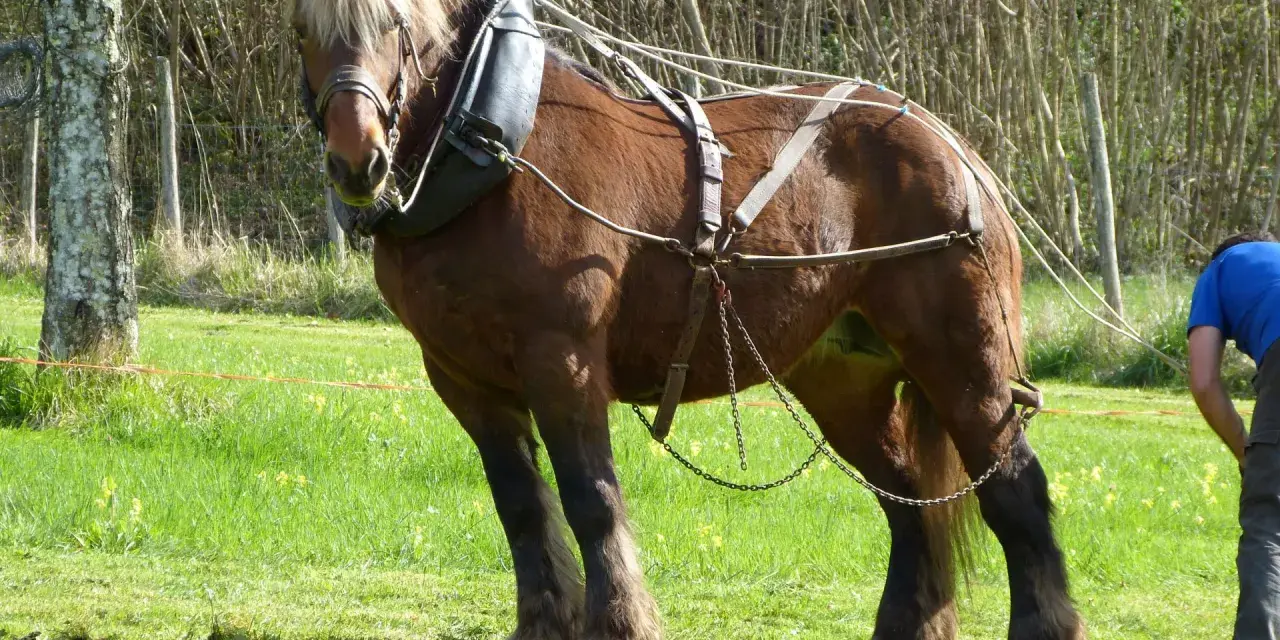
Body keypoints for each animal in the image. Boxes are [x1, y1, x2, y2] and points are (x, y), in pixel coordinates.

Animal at [290, 0, 1084, 637]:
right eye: (302, 30)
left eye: (394, 26)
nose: (358, 161)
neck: (499, 152)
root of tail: (953, 146)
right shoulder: (462, 379)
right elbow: (521, 511)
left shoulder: (563, 361)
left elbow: (592, 503)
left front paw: (621, 623)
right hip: (844, 382)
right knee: (912, 503)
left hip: (964, 362)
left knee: (1015, 492)